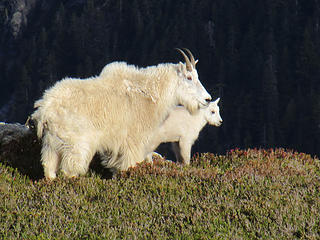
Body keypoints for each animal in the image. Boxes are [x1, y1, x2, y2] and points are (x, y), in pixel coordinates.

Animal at [31, 48, 211, 179]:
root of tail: (45, 110)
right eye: (189, 77)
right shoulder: (134, 143)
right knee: (70, 170)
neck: (151, 93)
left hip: (51, 145)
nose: (207, 99)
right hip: (74, 145)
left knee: (49, 169)